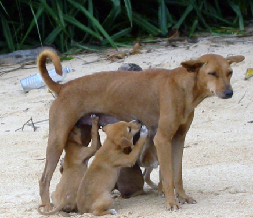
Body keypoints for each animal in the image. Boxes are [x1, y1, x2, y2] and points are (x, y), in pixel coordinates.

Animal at [38, 48, 245, 210]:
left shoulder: (179, 139)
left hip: (83, 137)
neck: (181, 87)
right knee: (44, 179)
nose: (229, 93)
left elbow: (177, 174)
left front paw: (183, 197)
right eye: (212, 73)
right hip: (57, 141)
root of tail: (63, 87)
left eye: (230, 72)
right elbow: (168, 177)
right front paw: (171, 203)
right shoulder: (162, 139)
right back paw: (48, 206)